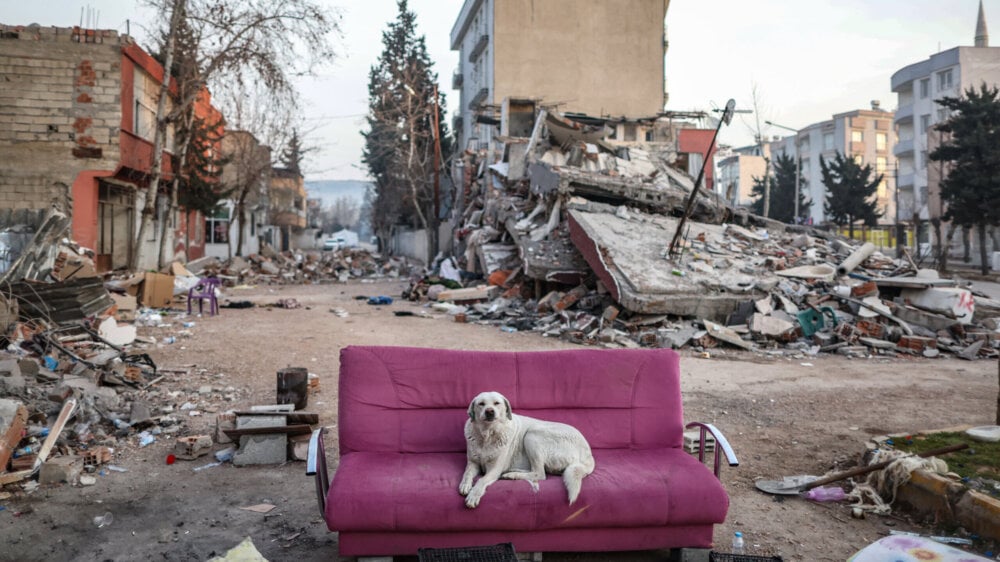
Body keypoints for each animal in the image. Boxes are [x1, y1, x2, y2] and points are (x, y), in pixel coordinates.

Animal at [458, 390, 592, 508]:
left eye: (497, 403)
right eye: (481, 404)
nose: (489, 411)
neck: (487, 435)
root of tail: (588, 453)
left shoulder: (494, 469)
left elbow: (482, 480)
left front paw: (473, 495)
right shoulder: (473, 463)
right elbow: (467, 473)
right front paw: (465, 485)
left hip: (532, 435)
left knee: (540, 473)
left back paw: (512, 475)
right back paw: (512, 471)